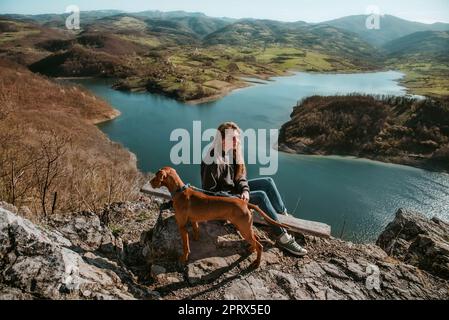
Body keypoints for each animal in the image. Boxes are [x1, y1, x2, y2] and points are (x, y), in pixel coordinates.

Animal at [150, 166, 288, 268]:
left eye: (156, 175)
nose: (150, 182)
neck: (180, 191)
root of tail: (245, 203)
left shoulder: (182, 226)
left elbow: (185, 245)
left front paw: (184, 258)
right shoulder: (194, 221)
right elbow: (195, 231)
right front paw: (196, 239)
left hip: (243, 228)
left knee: (260, 245)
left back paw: (257, 263)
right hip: (245, 227)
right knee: (256, 239)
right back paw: (250, 249)